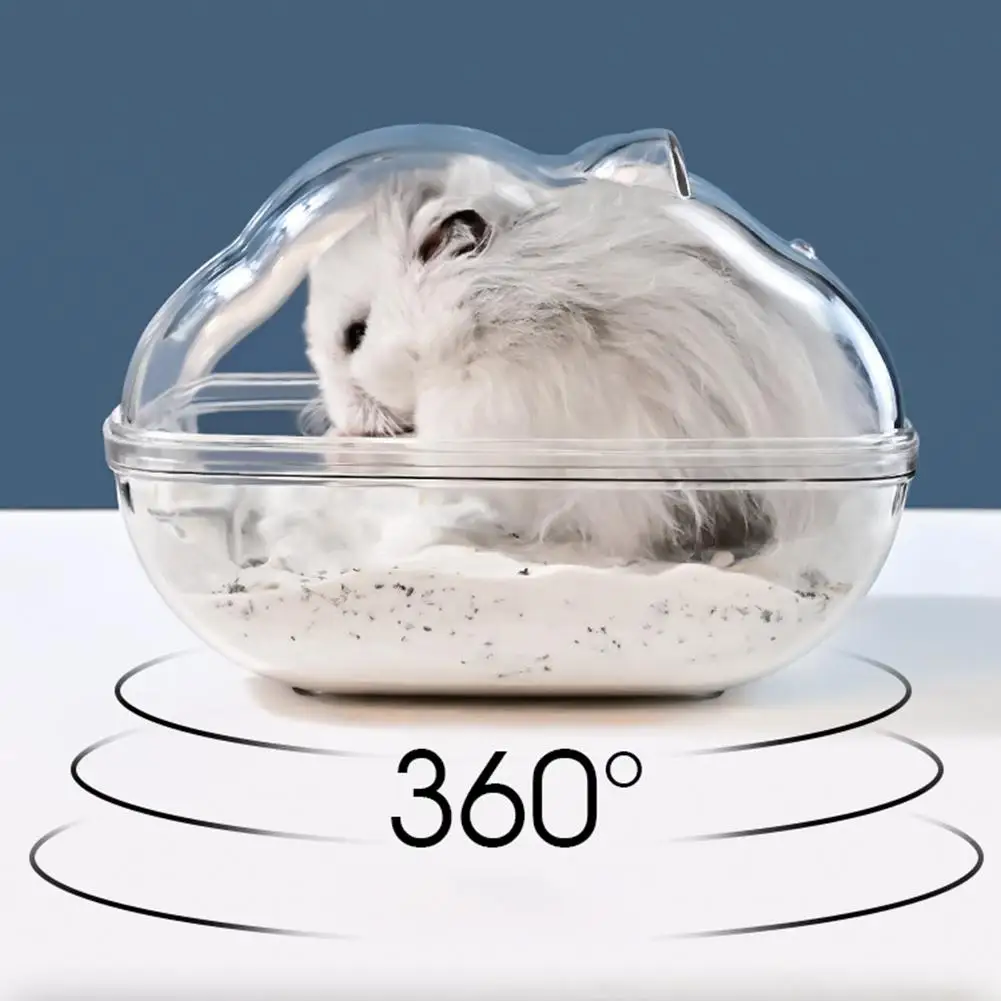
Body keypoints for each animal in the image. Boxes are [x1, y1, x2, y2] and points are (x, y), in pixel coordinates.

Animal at [300, 156, 877, 566]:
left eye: (355, 334)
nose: (338, 419)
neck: (477, 319)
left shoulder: (488, 413)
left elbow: (425, 449)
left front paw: (344, 446)